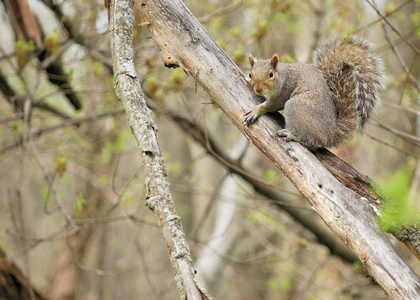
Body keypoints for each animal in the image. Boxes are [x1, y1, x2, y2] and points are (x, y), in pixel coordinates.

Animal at [243, 35, 384, 148]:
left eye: (271, 74)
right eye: (250, 74)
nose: (258, 89)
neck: (282, 75)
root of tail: (330, 134)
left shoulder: (285, 90)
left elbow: (272, 104)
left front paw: (256, 110)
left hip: (296, 107)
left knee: (312, 142)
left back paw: (293, 135)